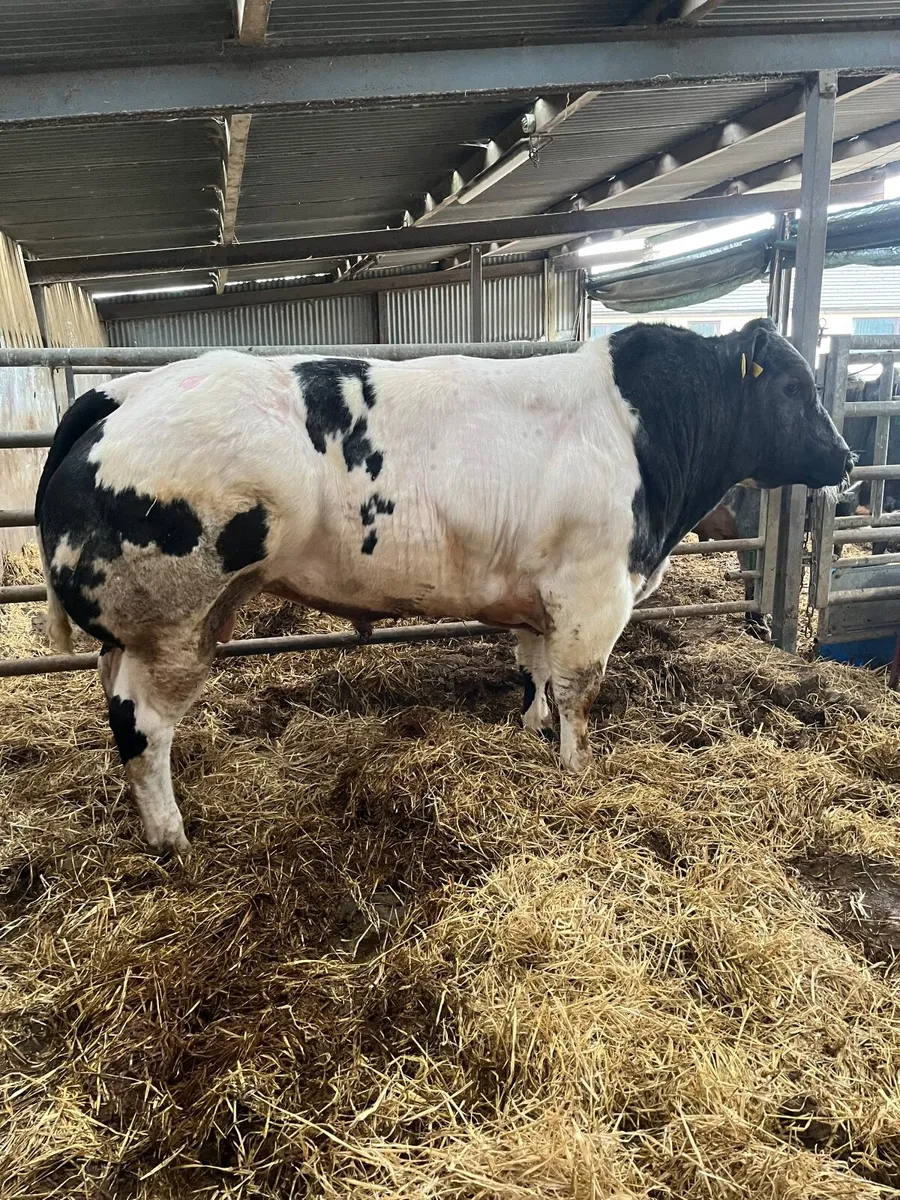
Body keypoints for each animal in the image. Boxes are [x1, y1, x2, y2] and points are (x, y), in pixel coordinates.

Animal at [35, 318, 852, 854]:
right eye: (795, 385)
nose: (844, 457)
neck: (641, 429)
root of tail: (123, 390)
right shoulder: (594, 593)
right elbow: (579, 691)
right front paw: (577, 770)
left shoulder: (541, 595)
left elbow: (535, 670)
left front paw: (532, 730)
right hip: (175, 620)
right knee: (141, 725)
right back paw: (171, 838)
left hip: (152, 626)